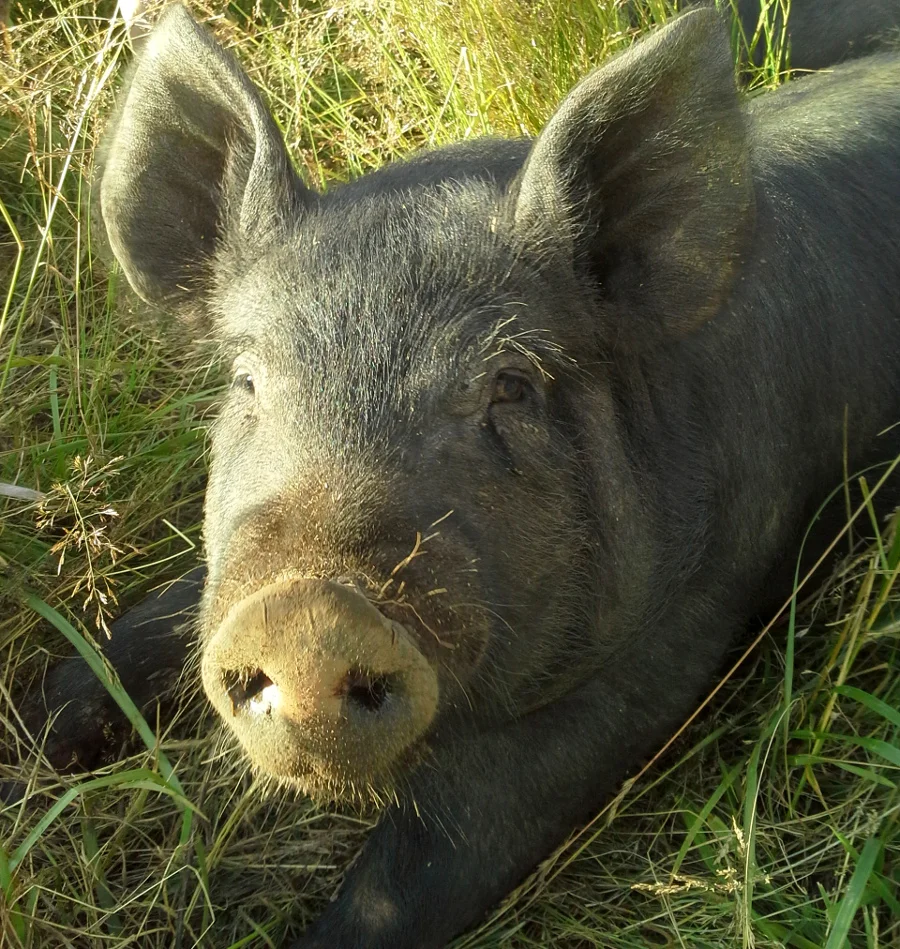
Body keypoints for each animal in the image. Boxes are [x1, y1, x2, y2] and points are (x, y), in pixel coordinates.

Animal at [14, 3, 900, 947]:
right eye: (248, 380)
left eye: (508, 386)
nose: (308, 613)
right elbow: (140, 631)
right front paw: (21, 748)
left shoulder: (663, 652)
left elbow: (419, 870)